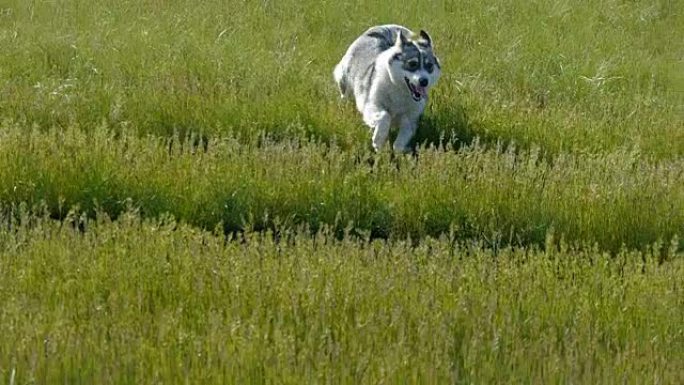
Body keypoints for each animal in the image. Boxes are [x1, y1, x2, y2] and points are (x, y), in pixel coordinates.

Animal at [332, 22, 440, 153]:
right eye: (412, 64)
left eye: (429, 66)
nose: (424, 81)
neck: (400, 89)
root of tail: (373, 33)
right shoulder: (372, 105)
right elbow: (384, 117)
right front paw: (378, 140)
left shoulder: (411, 118)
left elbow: (401, 140)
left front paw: (400, 150)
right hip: (345, 82)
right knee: (345, 96)